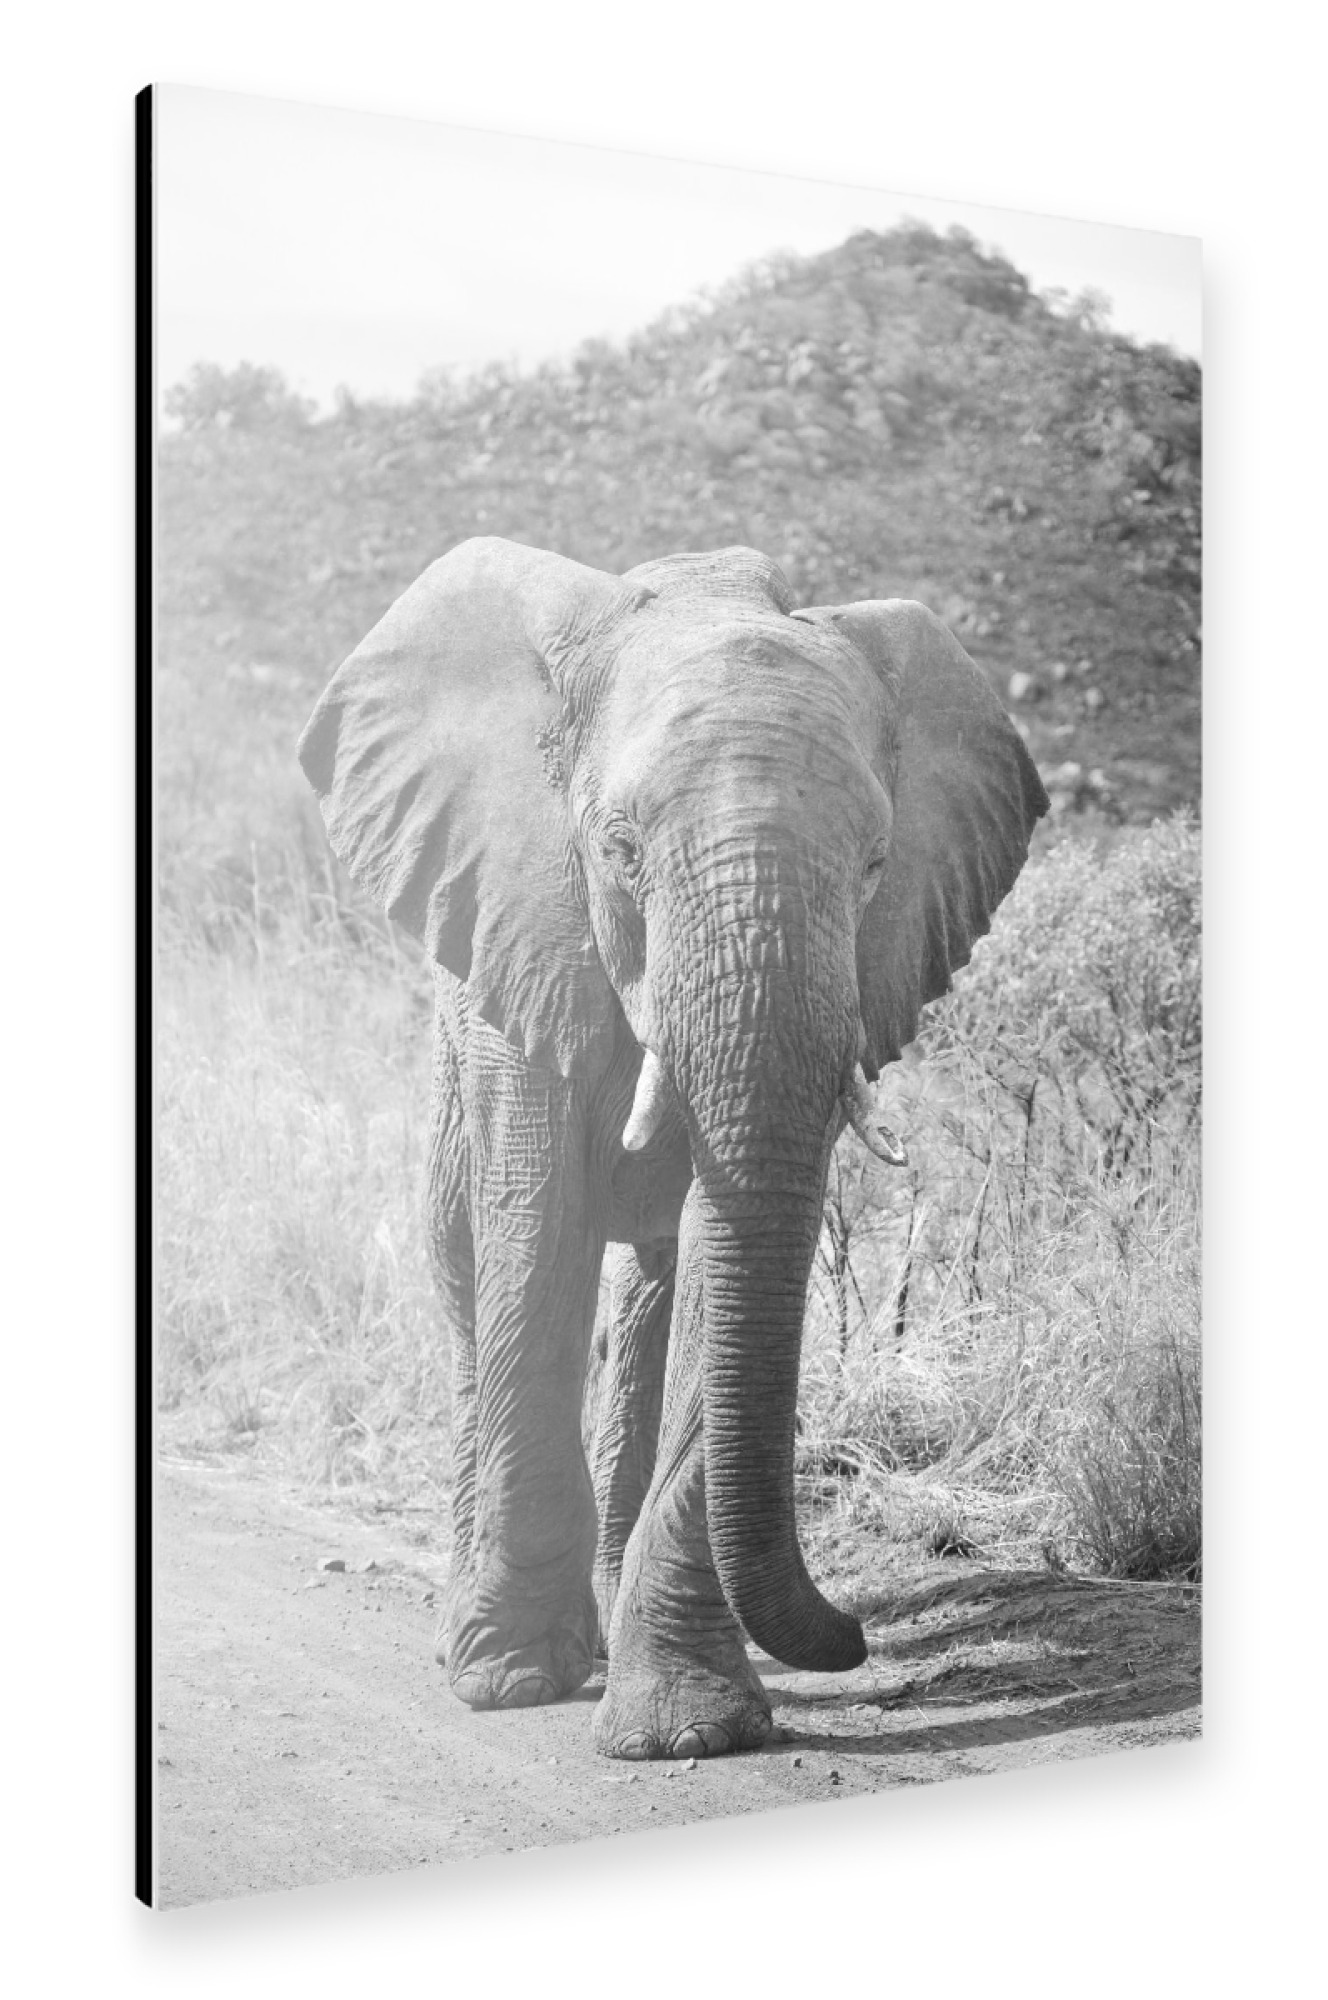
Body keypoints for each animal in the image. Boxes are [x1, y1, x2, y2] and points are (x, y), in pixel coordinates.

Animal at [297, 537, 1048, 1761]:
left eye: (876, 864)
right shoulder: (527, 945)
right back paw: (482, 1634)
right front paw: (512, 1681)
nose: (850, 1636)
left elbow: (720, 1252)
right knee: (469, 1286)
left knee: (647, 1297)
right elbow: (535, 1234)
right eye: (619, 850)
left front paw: (687, 1730)